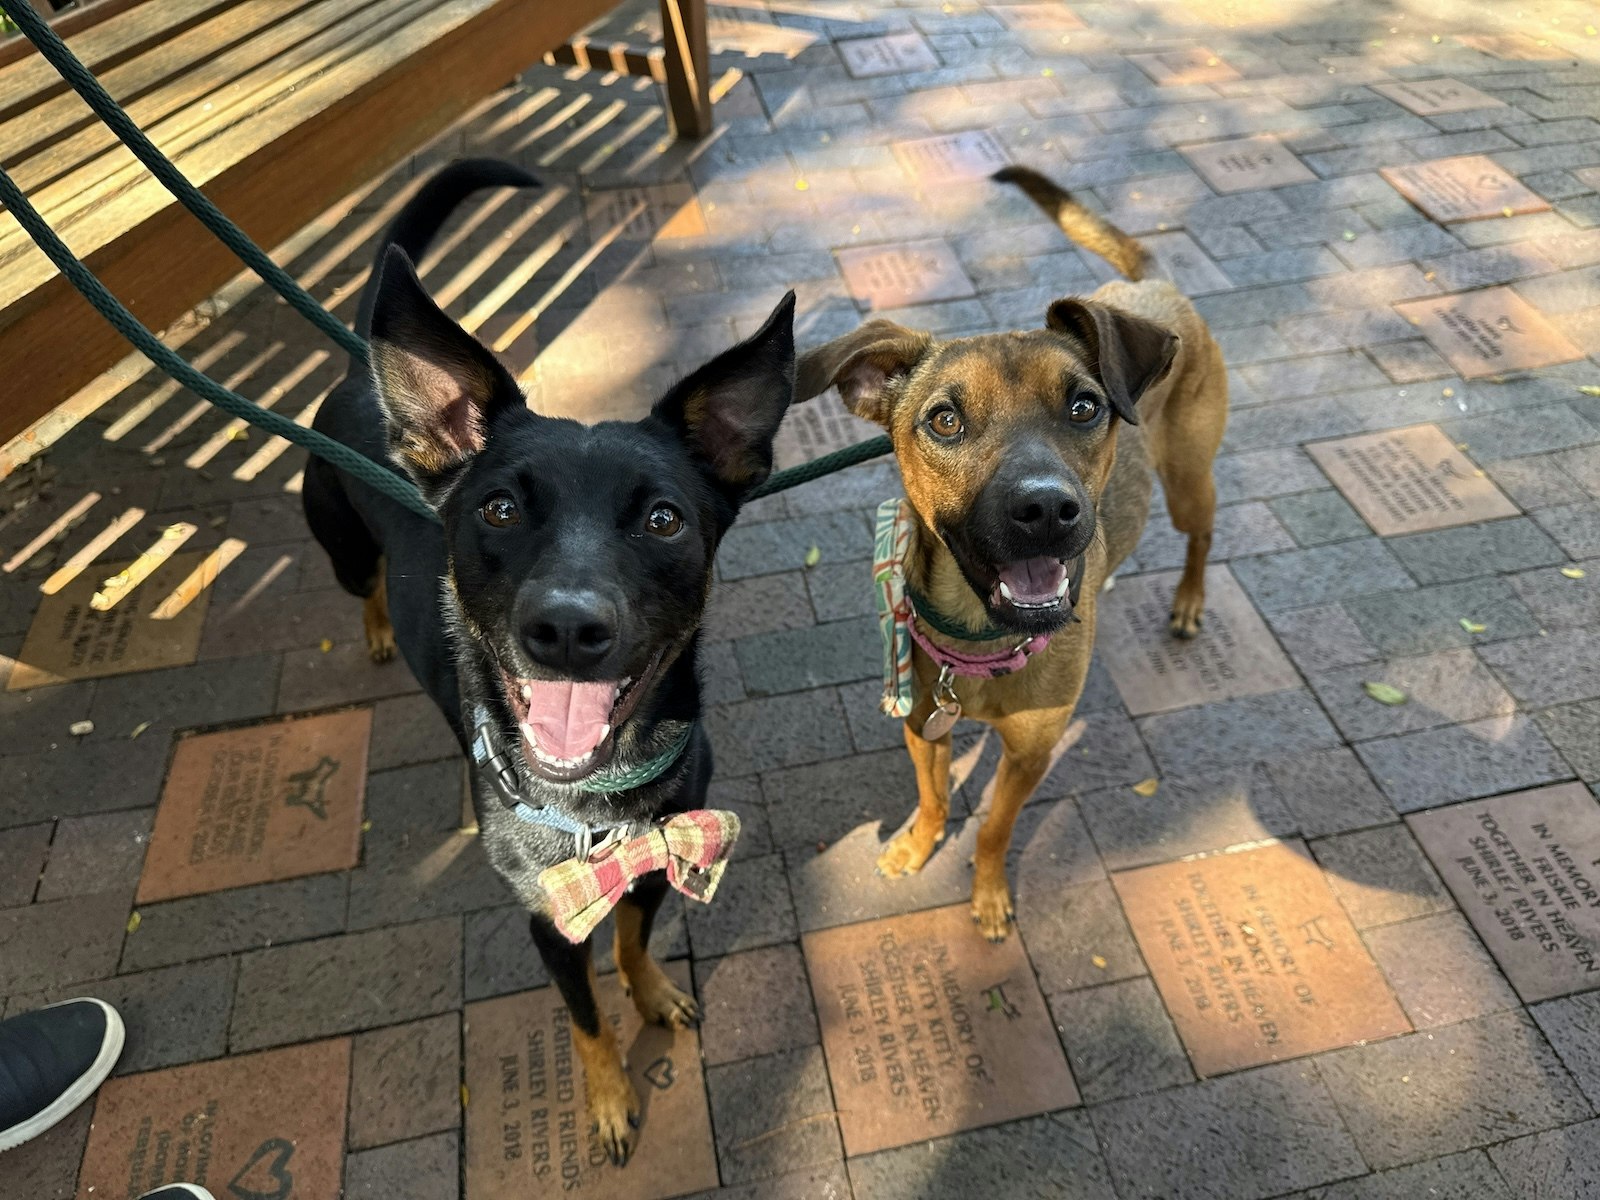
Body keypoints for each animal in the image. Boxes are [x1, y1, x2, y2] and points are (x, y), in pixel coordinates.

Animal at [302, 162, 796, 1164]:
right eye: (498, 508)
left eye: (664, 519)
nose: (567, 629)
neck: (598, 810)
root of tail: (358, 369)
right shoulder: (548, 920)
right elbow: (586, 1018)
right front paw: (607, 1102)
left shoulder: (655, 862)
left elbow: (634, 948)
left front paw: (655, 994)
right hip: (336, 542)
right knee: (363, 586)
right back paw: (376, 632)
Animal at [793, 167, 1228, 940]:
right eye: (944, 419)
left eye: (1084, 406)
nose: (1047, 510)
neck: (979, 642)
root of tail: (1157, 284)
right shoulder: (921, 725)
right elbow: (935, 799)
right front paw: (916, 847)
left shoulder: (1029, 753)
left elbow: (994, 827)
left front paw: (989, 895)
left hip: (1187, 478)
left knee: (1202, 533)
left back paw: (1187, 603)